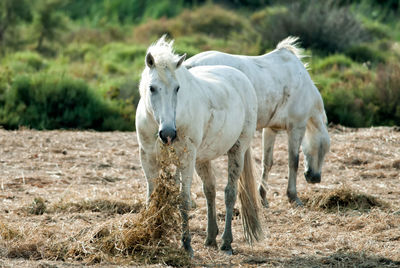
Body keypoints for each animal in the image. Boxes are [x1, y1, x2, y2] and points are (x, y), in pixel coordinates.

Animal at [136, 36, 264, 255]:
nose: (168, 134)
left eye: (177, 88)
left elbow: (184, 199)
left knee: (229, 193)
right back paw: (210, 237)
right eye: (152, 88)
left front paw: (186, 244)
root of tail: (242, 78)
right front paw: (149, 237)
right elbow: (151, 198)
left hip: (237, 150)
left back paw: (226, 241)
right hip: (202, 159)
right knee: (210, 190)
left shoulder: (186, 159)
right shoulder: (148, 158)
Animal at [186, 37, 330, 205]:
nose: (315, 178)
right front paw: (293, 196)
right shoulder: (296, 128)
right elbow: (293, 162)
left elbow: (267, 162)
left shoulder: (271, 129)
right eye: (323, 149)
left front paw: (263, 196)